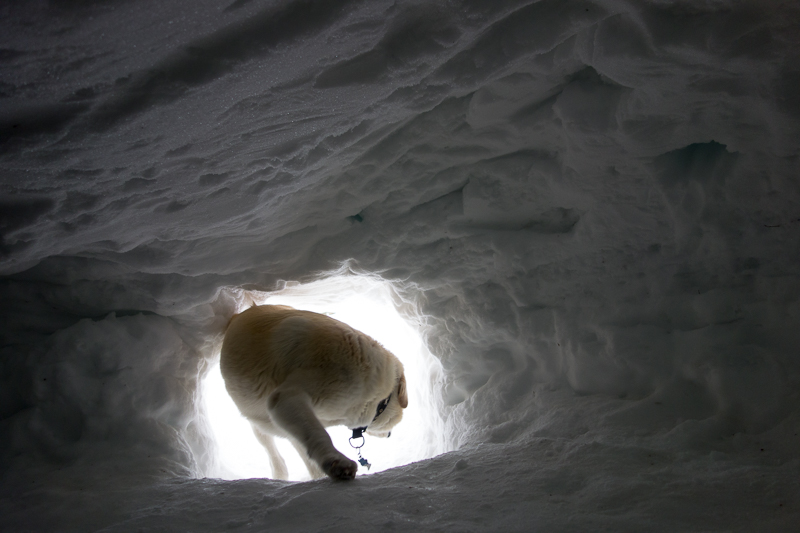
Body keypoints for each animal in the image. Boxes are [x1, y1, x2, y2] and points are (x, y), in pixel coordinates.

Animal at [219, 306, 406, 480]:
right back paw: (280, 473)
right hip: (261, 423)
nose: (389, 435)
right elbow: (320, 434)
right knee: (270, 448)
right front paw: (338, 463)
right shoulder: (287, 398)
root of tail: (240, 314)